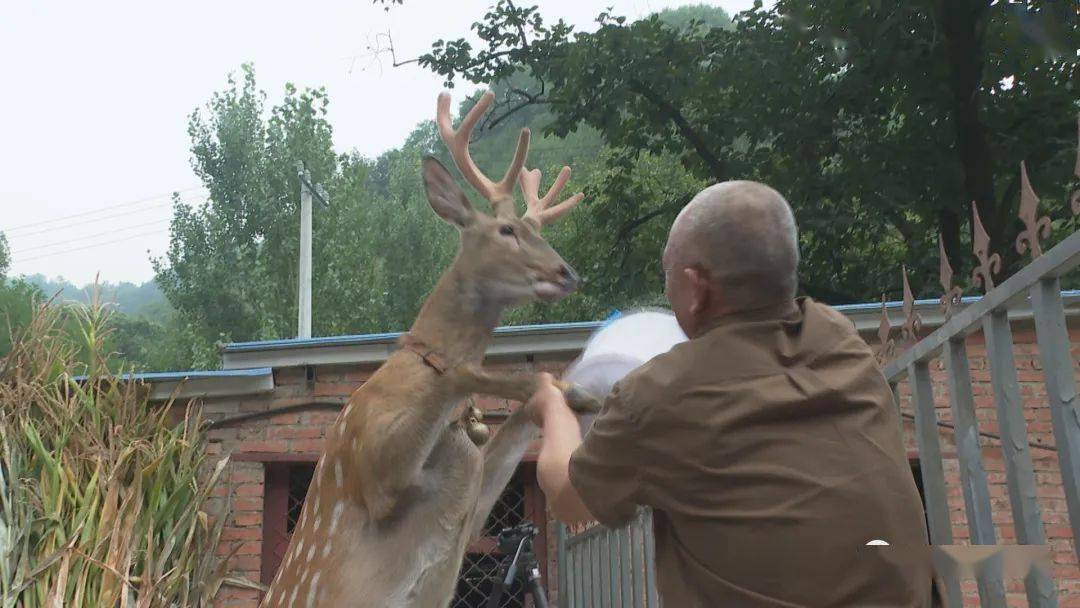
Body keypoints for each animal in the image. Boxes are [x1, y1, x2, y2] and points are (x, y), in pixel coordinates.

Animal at [261, 91, 600, 608]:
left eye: (539, 232)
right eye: (506, 230)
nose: (569, 273)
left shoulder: (473, 509)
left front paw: (576, 392)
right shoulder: (367, 458)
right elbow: (463, 373)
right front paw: (544, 382)